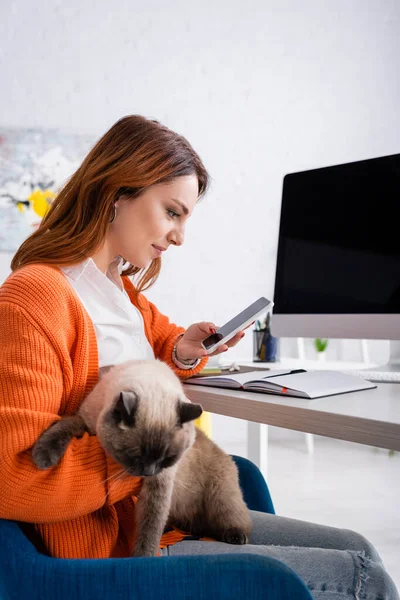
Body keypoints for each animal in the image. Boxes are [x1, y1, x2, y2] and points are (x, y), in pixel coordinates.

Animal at [32, 358, 252, 556]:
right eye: (135, 455)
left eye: (168, 458)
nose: (148, 472)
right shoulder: (85, 423)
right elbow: (63, 427)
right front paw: (42, 458)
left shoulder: (160, 485)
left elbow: (149, 529)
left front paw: (144, 557)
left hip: (221, 497)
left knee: (234, 519)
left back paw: (236, 537)